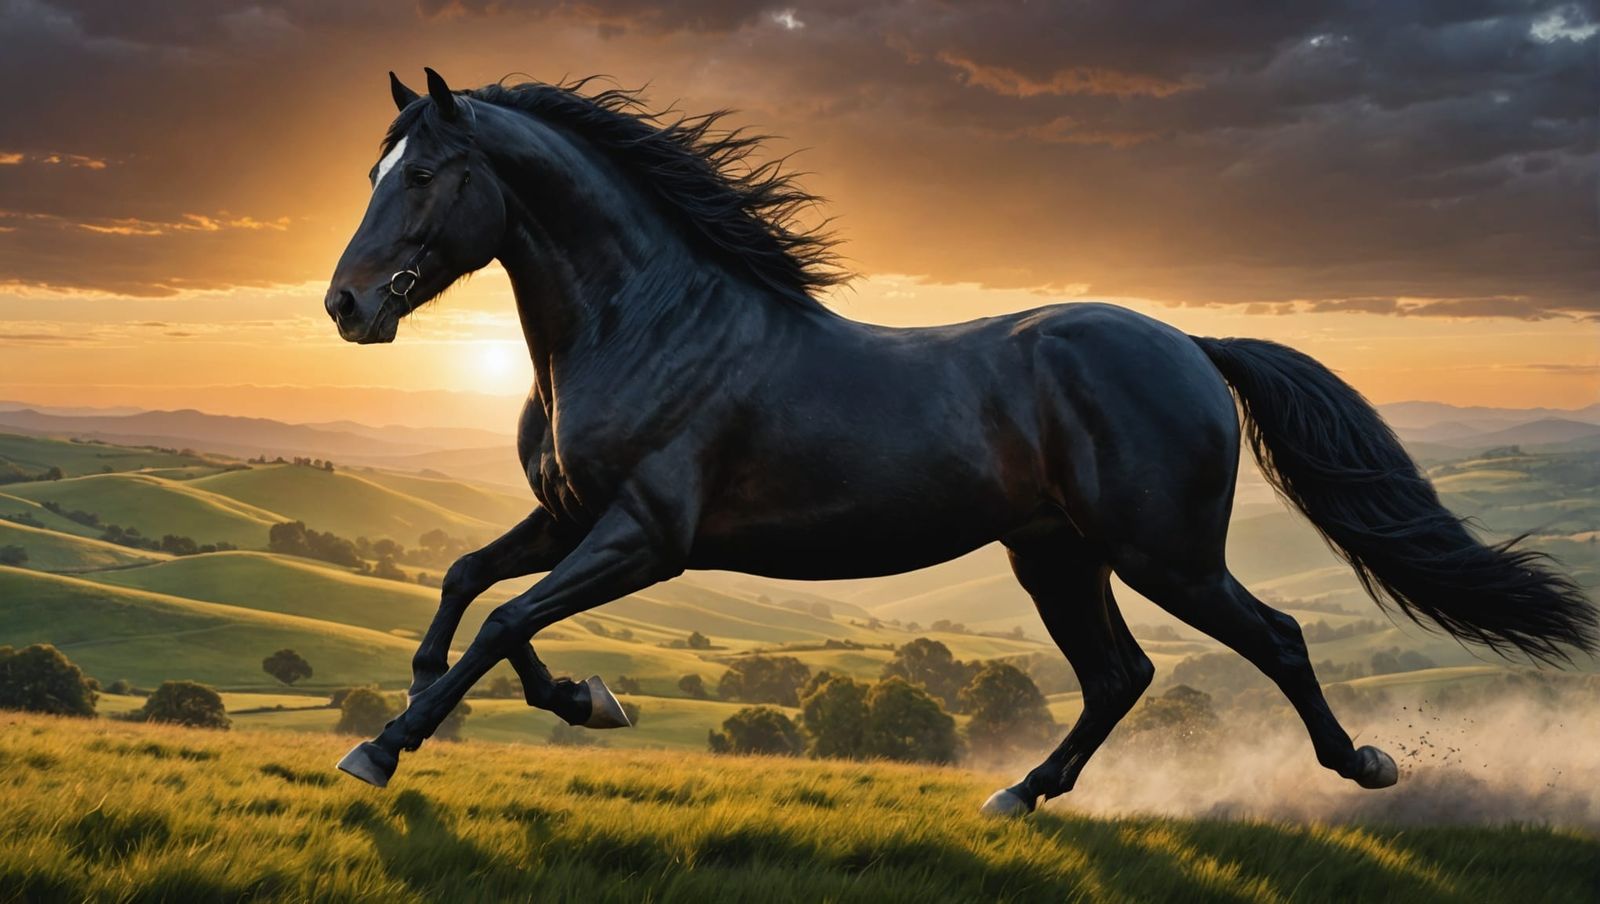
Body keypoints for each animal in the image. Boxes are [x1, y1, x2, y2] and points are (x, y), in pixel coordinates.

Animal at [323, 68, 1598, 815]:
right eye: (373, 168)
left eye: (427, 174)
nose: (345, 306)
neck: (646, 319)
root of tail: (1189, 342)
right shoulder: (574, 516)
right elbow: (470, 584)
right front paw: (582, 700)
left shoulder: (644, 534)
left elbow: (503, 617)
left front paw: (385, 746)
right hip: (1056, 553)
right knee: (1120, 673)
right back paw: (1021, 794)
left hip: (1164, 552)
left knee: (1272, 637)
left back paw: (1363, 765)